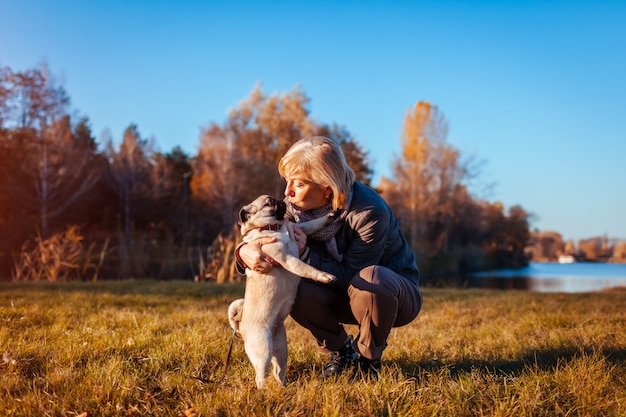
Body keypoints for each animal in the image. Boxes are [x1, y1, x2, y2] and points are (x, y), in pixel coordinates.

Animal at [228, 194, 336, 386]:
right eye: (269, 203)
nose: (281, 200)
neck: (275, 227)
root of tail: (241, 325)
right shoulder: (287, 259)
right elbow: (307, 268)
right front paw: (324, 276)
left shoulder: (299, 228)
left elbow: (314, 223)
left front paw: (331, 215)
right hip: (263, 350)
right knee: (261, 376)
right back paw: (264, 391)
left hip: (281, 348)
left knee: (278, 371)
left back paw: (283, 387)